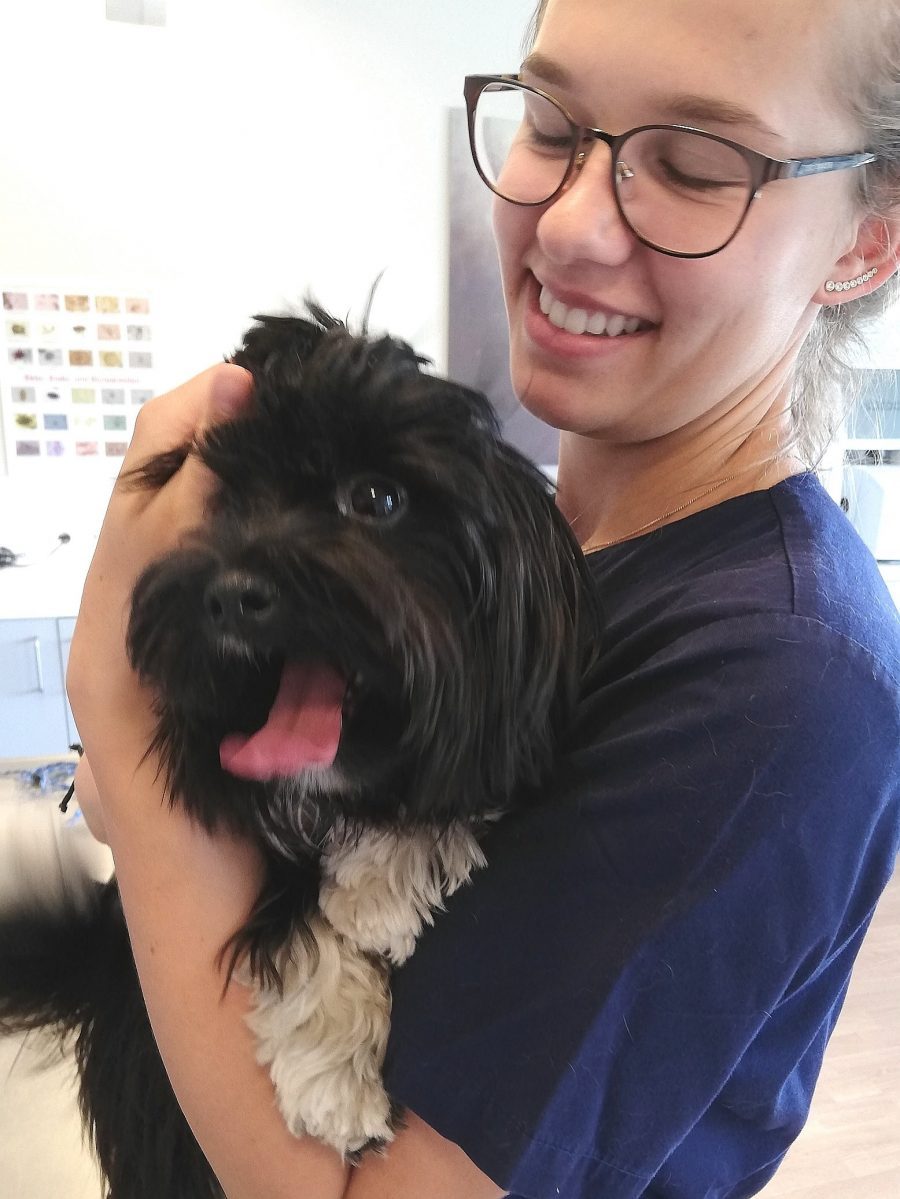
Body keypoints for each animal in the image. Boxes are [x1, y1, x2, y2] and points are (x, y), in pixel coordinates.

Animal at [0, 306, 598, 1199]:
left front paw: (383, 881)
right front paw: (337, 1077)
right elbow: (290, 914)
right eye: (223, 497)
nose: (228, 594)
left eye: (377, 497)